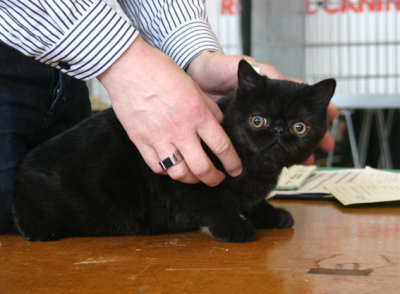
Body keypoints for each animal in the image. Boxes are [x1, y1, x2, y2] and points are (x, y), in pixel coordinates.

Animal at [12, 59, 336, 241]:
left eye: (300, 127)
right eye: (258, 120)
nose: (279, 131)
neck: (257, 170)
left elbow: (252, 201)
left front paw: (270, 215)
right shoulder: (186, 177)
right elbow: (214, 202)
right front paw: (232, 227)